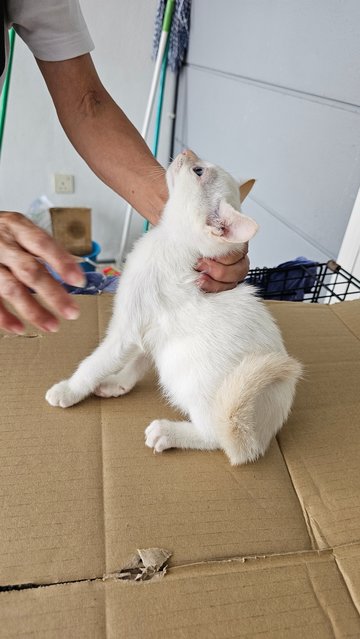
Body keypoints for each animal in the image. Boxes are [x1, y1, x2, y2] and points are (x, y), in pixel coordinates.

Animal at [46, 152, 302, 468]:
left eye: (198, 170)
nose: (186, 152)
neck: (172, 240)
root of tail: (258, 439)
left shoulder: (126, 331)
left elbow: (94, 364)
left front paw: (69, 390)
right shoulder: (151, 331)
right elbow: (139, 361)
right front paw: (119, 383)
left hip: (189, 377)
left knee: (217, 439)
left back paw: (167, 433)